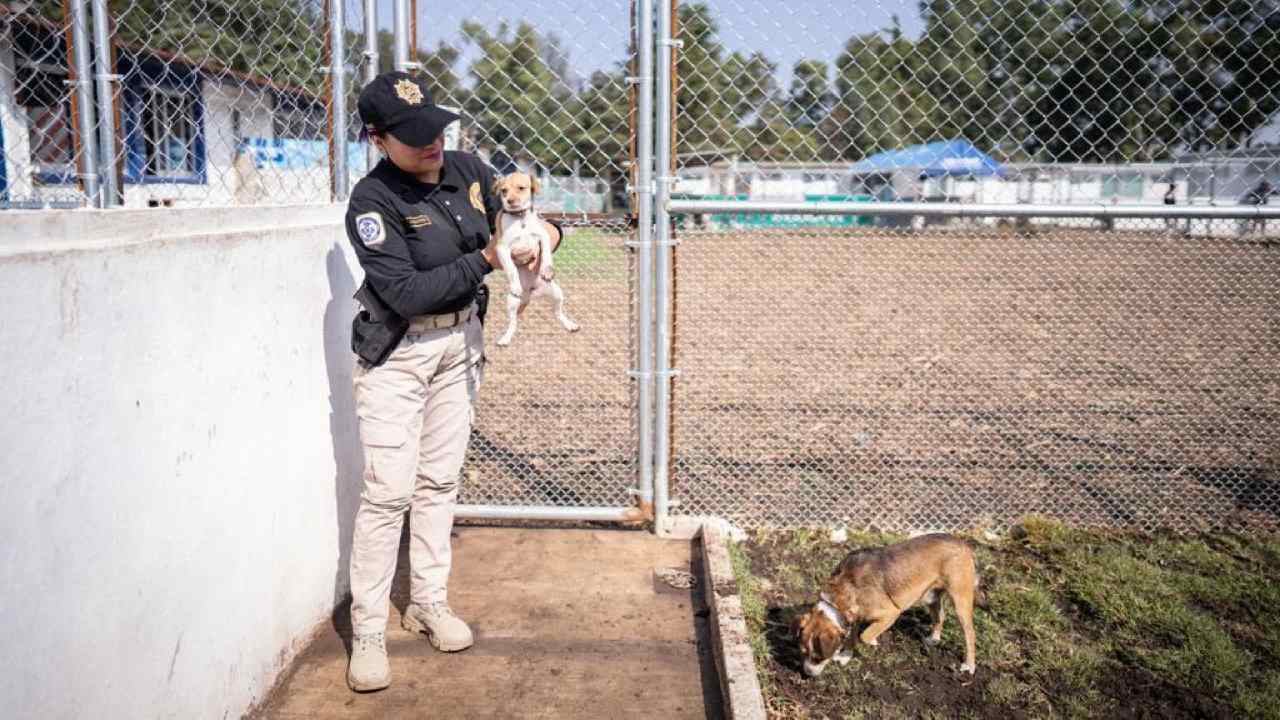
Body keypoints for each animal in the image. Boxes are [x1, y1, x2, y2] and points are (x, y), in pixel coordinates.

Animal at [488, 170, 581, 345]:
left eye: (521, 188)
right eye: (503, 191)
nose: (510, 201)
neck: (520, 219)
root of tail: (531, 294)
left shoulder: (543, 237)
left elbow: (545, 255)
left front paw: (547, 270)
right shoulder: (502, 248)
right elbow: (511, 269)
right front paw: (515, 284)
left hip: (557, 294)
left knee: (557, 313)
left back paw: (570, 325)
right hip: (511, 302)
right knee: (513, 323)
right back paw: (505, 338)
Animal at [798, 530, 977, 676]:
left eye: (817, 657)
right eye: (803, 652)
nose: (806, 673)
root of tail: (962, 543)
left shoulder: (891, 613)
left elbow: (864, 636)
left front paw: (872, 641)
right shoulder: (854, 616)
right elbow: (852, 637)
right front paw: (845, 656)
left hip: (960, 600)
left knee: (970, 633)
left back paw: (969, 665)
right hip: (931, 596)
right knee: (940, 616)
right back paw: (934, 639)